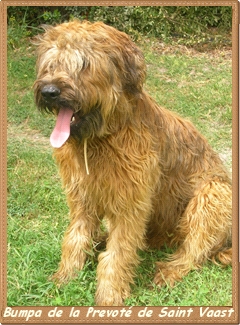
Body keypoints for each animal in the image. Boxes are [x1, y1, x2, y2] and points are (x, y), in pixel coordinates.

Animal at [32, 19, 232, 304]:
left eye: (83, 65)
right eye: (51, 63)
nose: (49, 92)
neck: (102, 138)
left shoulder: (130, 203)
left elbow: (118, 253)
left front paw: (109, 296)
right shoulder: (81, 195)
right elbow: (75, 237)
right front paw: (65, 278)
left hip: (214, 193)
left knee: (194, 251)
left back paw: (169, 271)